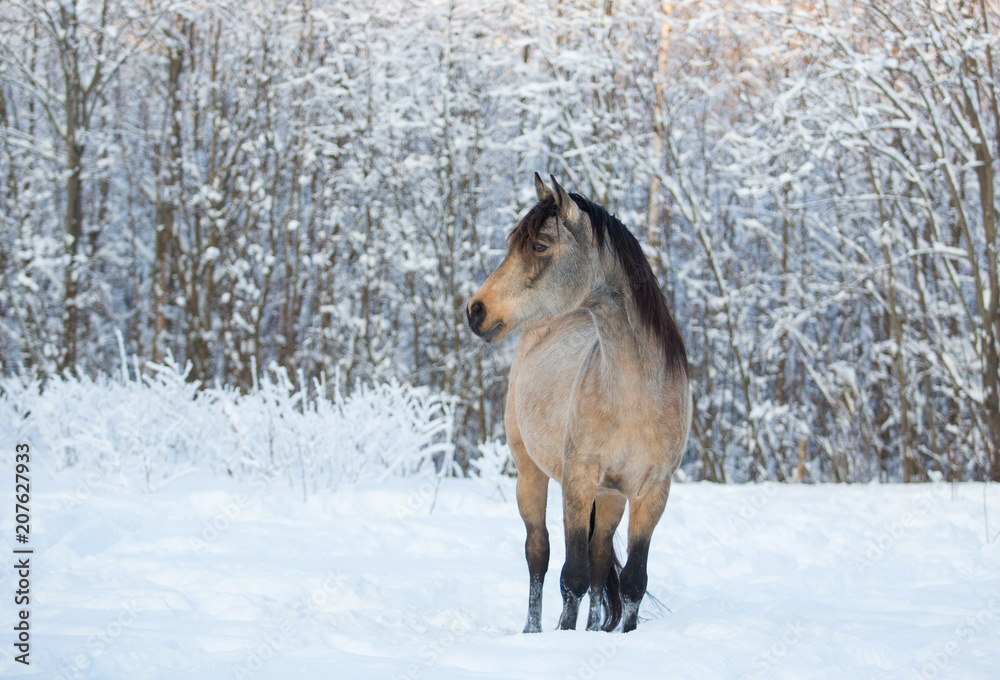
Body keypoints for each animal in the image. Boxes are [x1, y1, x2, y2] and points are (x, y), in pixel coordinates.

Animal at [466, 174, 691, 633]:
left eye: (539, 246)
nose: (476, 310)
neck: (633, 394)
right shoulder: (577, 480)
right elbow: (572, 575)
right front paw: (564, 636)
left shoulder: (652, 492)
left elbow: (632, 582)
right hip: (531, 474)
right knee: (539, 551)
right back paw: (532, 630)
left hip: (611, 496)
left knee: (601, 555)